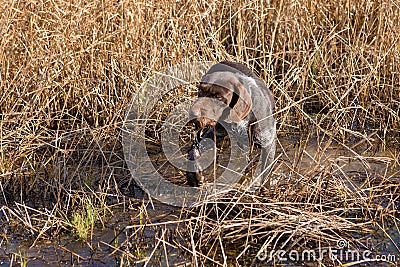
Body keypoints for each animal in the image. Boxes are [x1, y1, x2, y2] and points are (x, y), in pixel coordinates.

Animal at [187, 61, 276, 189]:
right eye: (200, 91)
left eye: (218, 96)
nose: (193, 113)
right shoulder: (213, 134)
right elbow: (194, 150)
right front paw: (194, 174)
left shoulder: (267, 142)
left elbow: (266, 171)